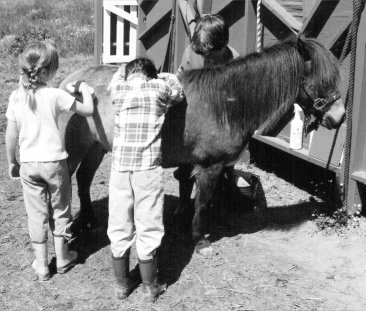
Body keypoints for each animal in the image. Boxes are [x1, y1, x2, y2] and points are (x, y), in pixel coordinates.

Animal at [60, 35, 346, 252]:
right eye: (320, 81)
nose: (340, 116)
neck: (226, 103)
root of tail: (71, 80)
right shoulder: (211, 166)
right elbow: (202, 201)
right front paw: (199, 238)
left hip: (96, 146)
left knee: (84, 179)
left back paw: (89, 220)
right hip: (75, 149)